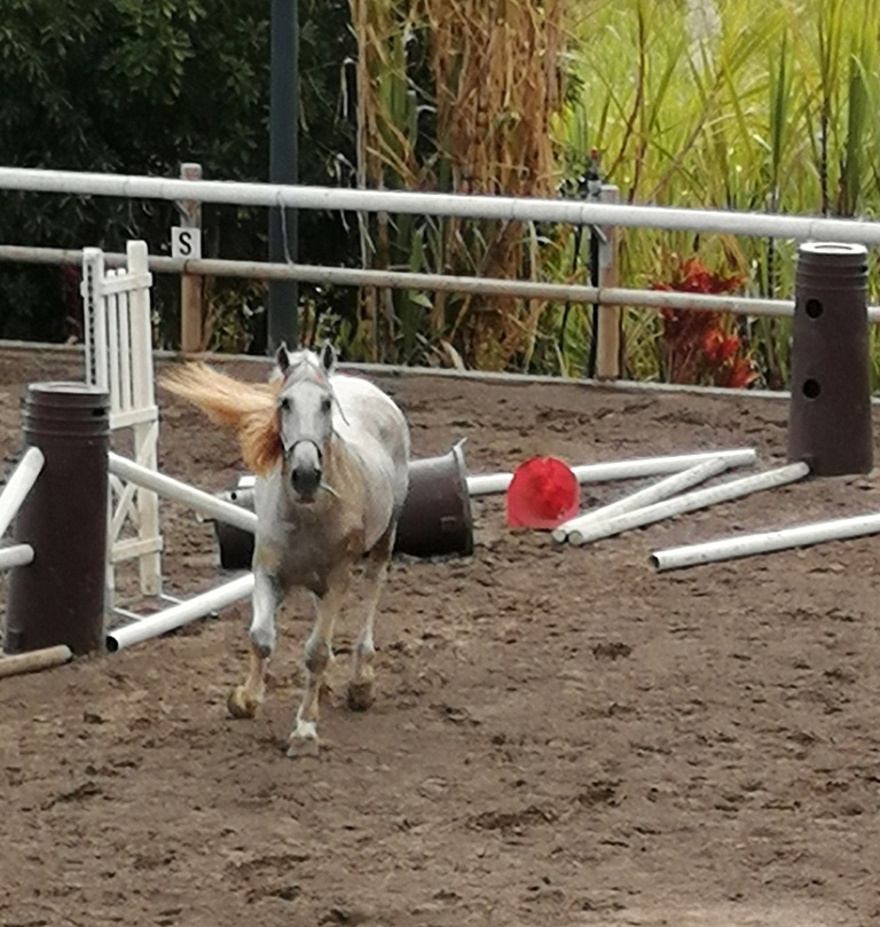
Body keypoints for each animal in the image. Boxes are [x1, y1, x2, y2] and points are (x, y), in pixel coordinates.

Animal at [163, 340, 410, 752]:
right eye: (284, 402)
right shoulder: (267, 572)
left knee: (372, 590)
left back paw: (361, 683)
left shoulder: (339, 580)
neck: (308, 512)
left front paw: (305, 729)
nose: (305, 475)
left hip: (384, 540)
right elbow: (261, 638)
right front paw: (244, 699)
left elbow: (316, 652)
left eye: (326, 403)